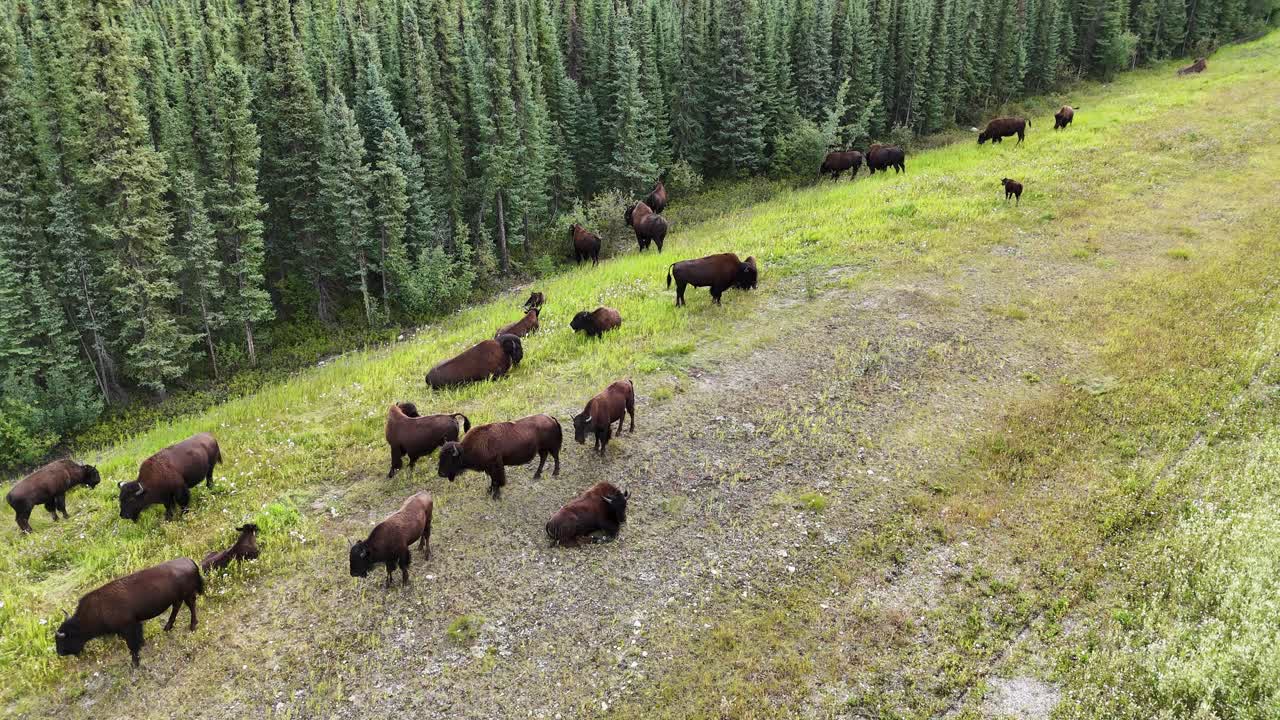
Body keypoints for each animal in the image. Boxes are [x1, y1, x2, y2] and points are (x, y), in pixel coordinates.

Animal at [55, 558, 204, 667]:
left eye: (64, 640)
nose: (60, 653)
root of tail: (190, 561)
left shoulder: (128, 627)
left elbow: (132, 645)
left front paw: (135, 664)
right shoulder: (134, 625)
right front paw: (142, 647)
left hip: (187, 595)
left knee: (191, 606)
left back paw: (192, 626)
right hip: (177, 598)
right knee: (177, 607)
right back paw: (167, 627)